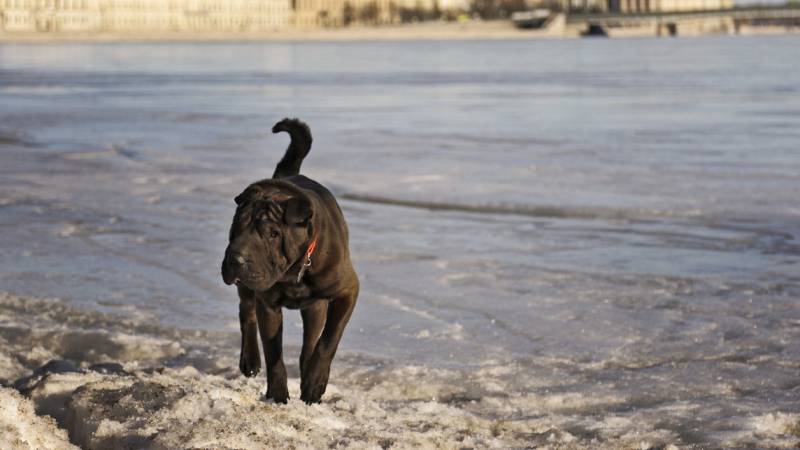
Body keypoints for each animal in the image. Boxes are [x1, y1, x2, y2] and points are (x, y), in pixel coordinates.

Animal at [225, 118, 362, 402]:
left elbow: (328, 339)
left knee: (311, 340)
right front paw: (277, 393)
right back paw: (250, 360)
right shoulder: (267, 304)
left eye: (273, 233)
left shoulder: (348, 291)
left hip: (315, 307)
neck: (294, 269)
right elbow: (273, 353)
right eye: (236, 225)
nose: (236, 259)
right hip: (250, 290)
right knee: (246, 311)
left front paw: (315, 382)